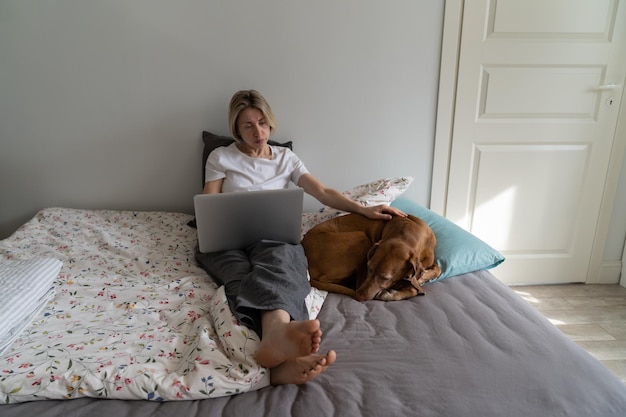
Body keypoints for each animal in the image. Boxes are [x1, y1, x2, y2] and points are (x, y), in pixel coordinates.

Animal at [302, 214, 438, 300]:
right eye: (369, 268)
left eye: (385, 278)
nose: (358, 297)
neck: (408, 232)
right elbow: (412, 287)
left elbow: (436, 269)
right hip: (360, 237)